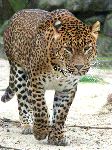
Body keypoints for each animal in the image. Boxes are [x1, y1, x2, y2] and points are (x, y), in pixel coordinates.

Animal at [1, 8, 100, 146]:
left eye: (87, 48)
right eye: (68, 49)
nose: (79, 66)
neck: (60, 70)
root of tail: (15, 15)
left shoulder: (67, 89)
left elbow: (60, 114)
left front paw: (57, 137)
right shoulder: (34, 82)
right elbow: (41, 107)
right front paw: (41, 131)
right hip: (18, 71)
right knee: (23, 101)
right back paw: (27, 125)